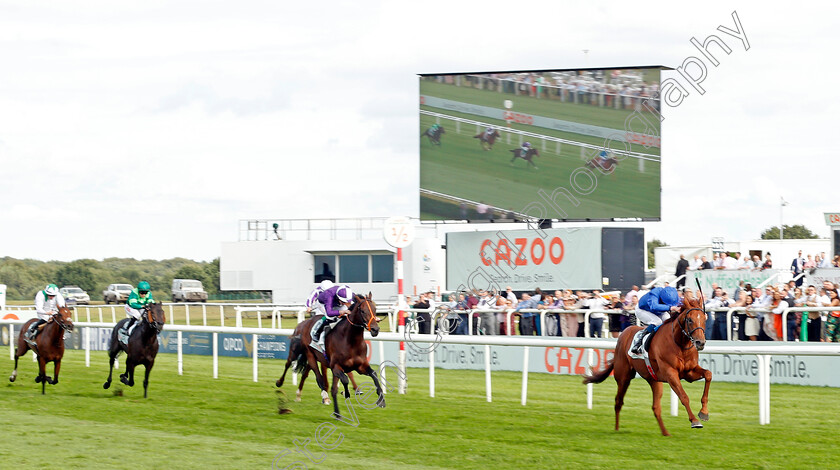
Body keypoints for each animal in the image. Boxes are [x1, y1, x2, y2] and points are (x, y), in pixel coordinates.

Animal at [588, 296, 712, 436]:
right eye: (690, 319)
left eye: (704, 318)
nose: (700, 342)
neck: (679, 344)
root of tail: (623, 334)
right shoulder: (670, 373)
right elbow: (684, 396)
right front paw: (694, 421)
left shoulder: (689, 372)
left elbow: (708, 374)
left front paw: (704, 412)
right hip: (623, 377)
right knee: (618, 401)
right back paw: (616, 429)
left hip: (654, 380)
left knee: (655, 407)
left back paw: (665, 433)